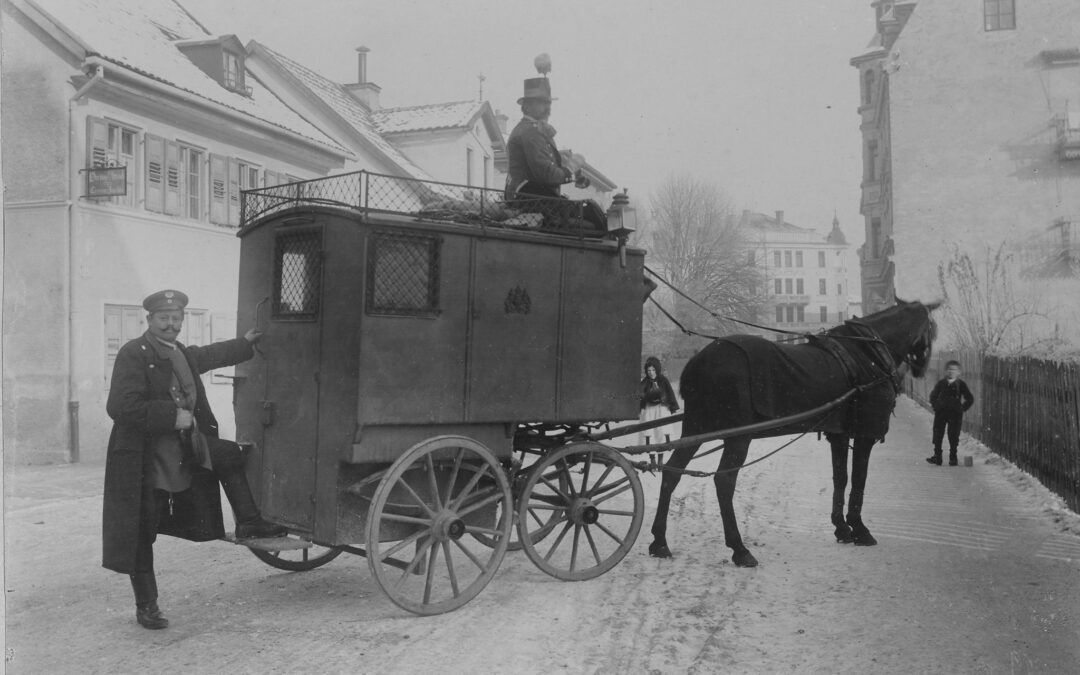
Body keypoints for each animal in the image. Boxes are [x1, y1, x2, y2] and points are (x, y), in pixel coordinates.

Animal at [648, 298, 937, 565]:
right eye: (932, 329)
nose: (922, 369)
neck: (866, 353)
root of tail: (699, 360)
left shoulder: (839, 433)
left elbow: (841, 478)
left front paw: (842, 528)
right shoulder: (866, 432)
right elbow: (859, 480)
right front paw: (860, 529)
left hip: (696, 428)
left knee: (672, 473)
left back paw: (660, 542)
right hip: (738, 436)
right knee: (724, 481)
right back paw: (739, 548)